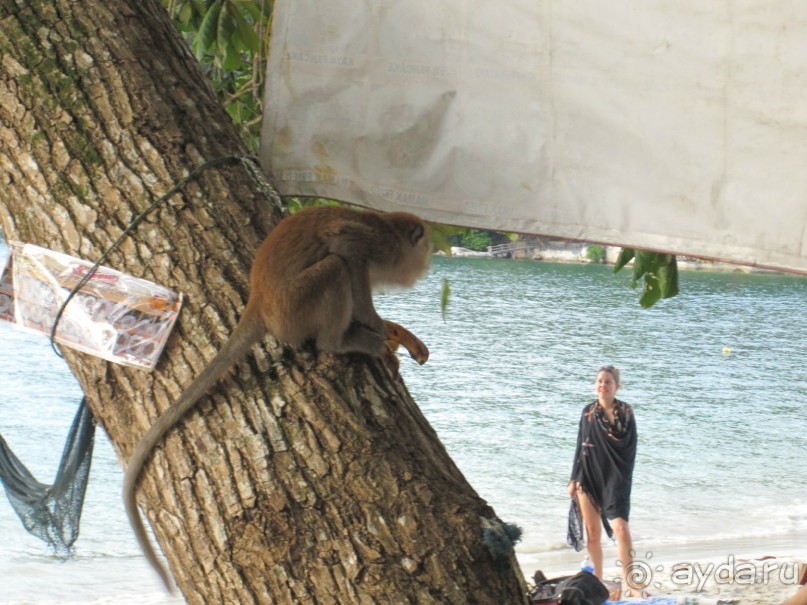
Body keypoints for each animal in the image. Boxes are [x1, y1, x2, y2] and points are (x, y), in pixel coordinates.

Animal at [123, 204, 432, 588]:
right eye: (425, 247)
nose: (428, 263)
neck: (387, 226)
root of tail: (258, 303)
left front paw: (390, 330)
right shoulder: (373, 243)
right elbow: (345, 248)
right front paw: (376, 325)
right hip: (295, 306)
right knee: (335, 267)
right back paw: (341, 342)